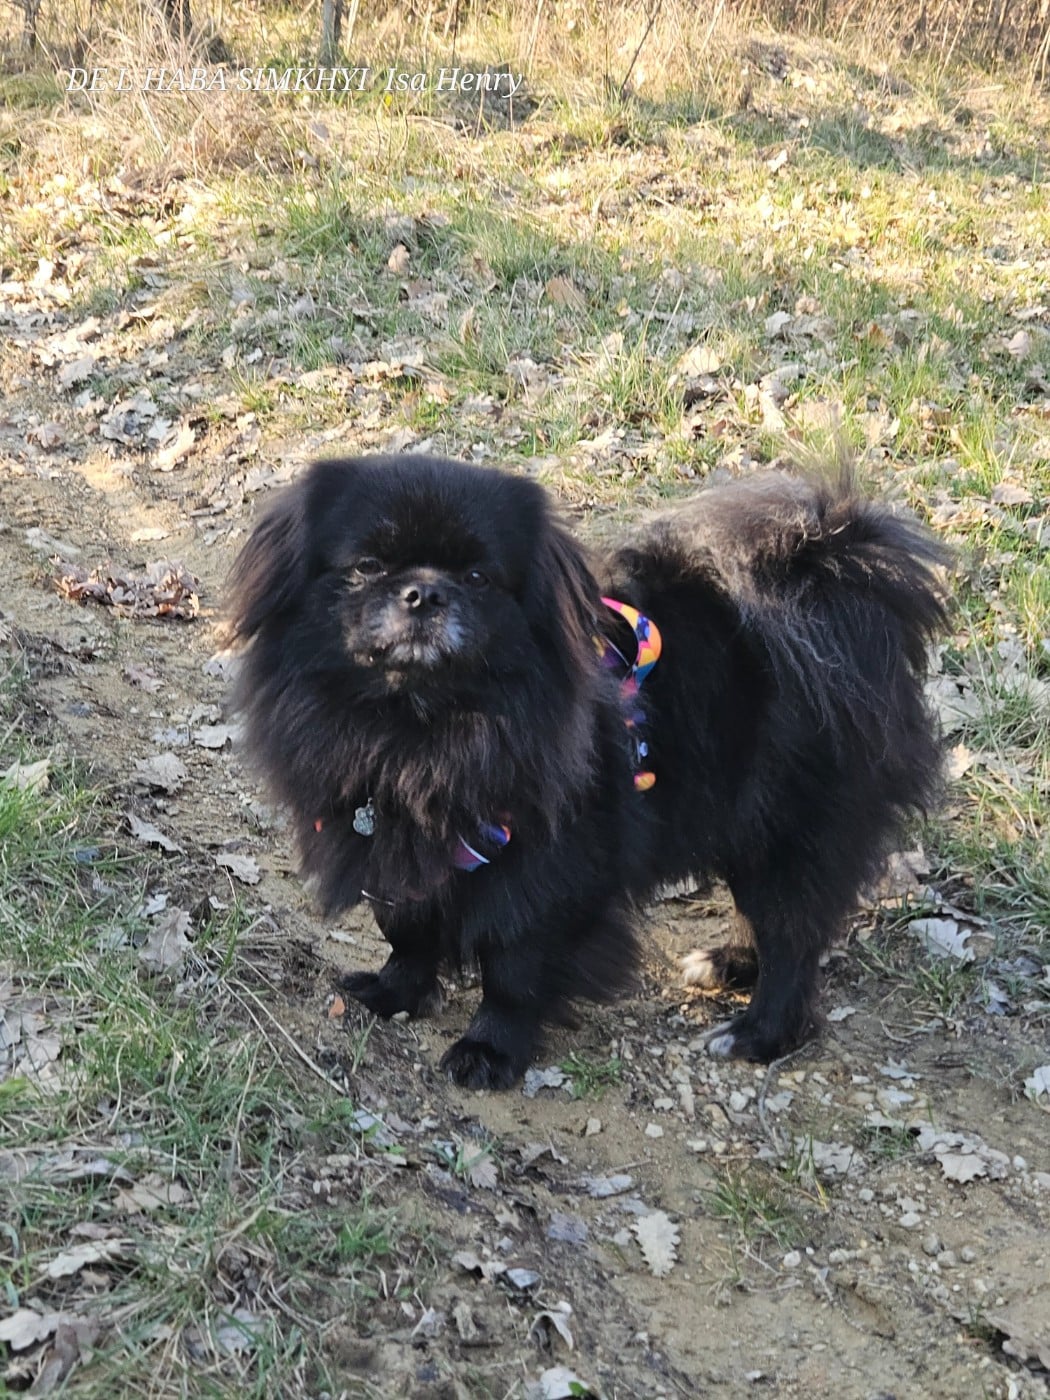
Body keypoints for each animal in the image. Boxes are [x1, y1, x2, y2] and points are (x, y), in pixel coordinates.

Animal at [228, 454, 948, 1089]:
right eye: (367, 566)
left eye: (479, 577)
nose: (424, 591)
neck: (420, 727)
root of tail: (836, 577)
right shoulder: (398, 843)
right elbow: (407, 931)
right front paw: (393, 991)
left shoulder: (550, 871)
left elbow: (514, 968)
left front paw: (490, 1050)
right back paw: (727, 965)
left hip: (789, 831)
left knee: (792, 934)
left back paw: (758, 1033)